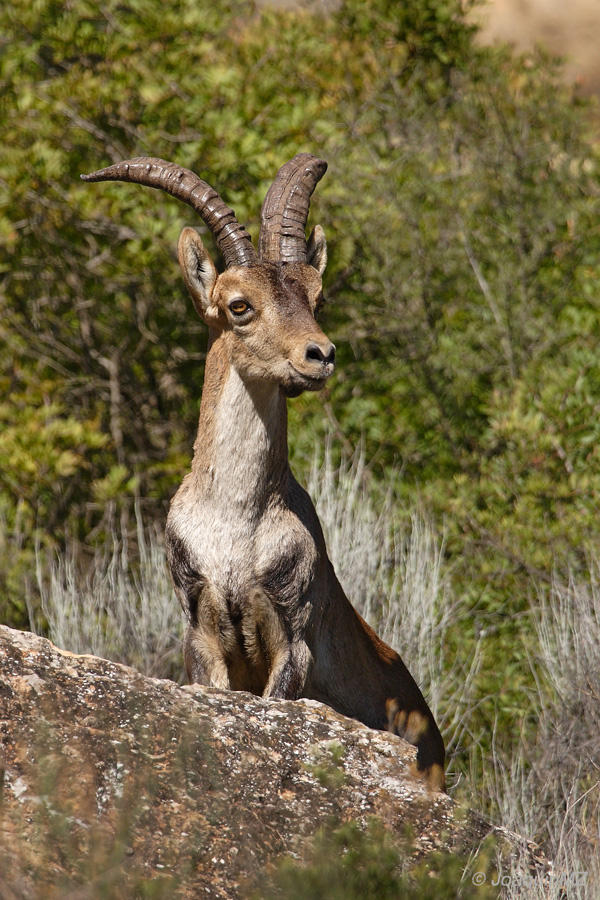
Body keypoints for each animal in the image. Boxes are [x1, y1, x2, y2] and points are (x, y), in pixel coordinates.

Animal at [81, 153, 446, 788]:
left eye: (316, 299)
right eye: (239, 305)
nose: (319, 356)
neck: (235, 523)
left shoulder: (290, 639)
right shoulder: (201, 629)